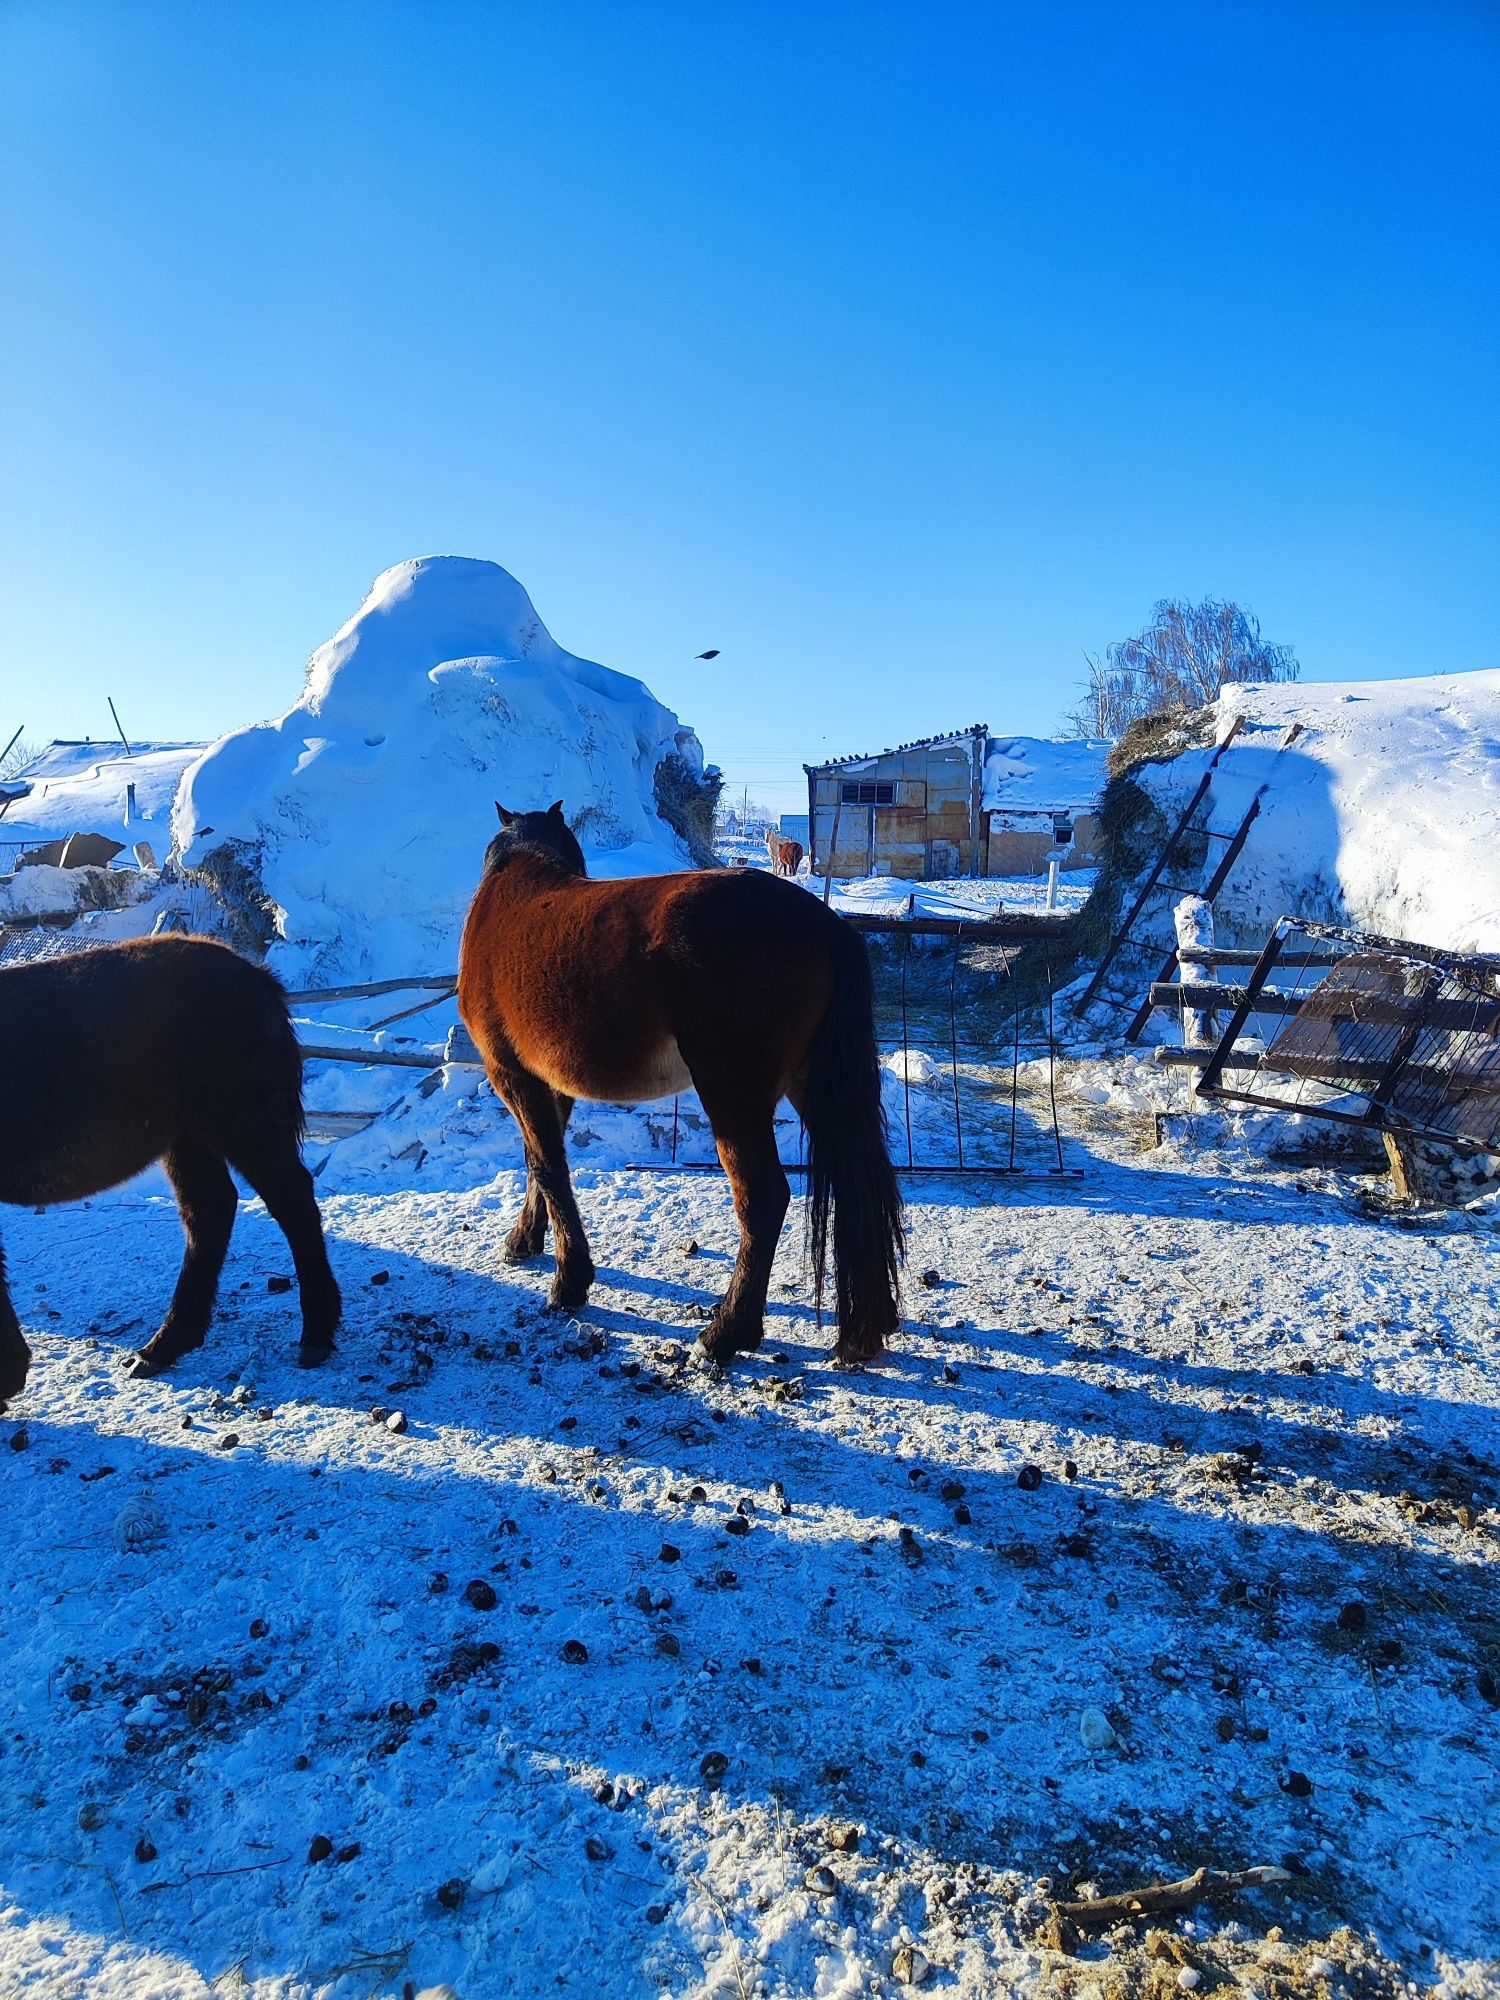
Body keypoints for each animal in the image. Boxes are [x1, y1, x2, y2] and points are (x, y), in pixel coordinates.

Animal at [0, 936, 340, 1408]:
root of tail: (257, 977)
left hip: (242, 1124)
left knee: (292, 1202)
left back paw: (316, 1336)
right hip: (188, 1136)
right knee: (211, 1211)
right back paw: (163, 1347)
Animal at [458, 804, 904, 1368]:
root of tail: (824, 923)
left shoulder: (512, 1075)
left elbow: (546, 1166)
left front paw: (568, 1283)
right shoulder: (549, 1085)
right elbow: (543, 1162)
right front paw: (526, 1240)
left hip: (732, 1095)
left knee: (764, 1198)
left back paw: (727, 1333)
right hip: (812, 1086)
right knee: (860, 1181)